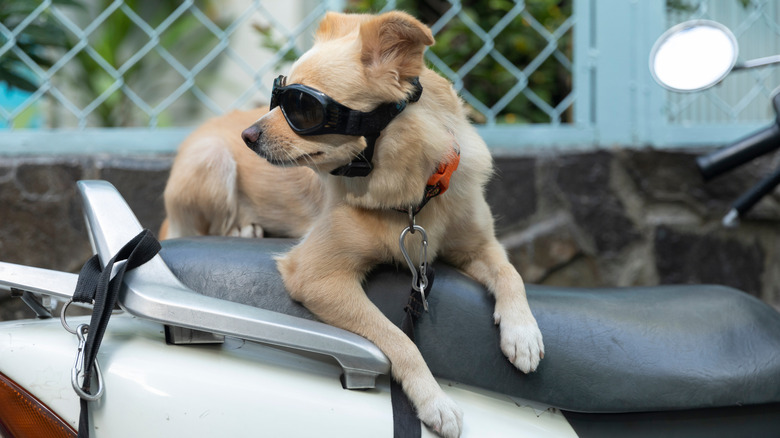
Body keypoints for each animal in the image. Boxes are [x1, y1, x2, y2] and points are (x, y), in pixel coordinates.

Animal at [162, 11, 544, 438]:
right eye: (279, 96)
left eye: (301, 107)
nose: (247, 135)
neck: (408, 196)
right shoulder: (317, 277)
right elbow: (398, 338)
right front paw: (434, 400)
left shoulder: (479, 246)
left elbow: (510, 272)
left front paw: (523, 333)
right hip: (211, 160)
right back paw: (243, 228)